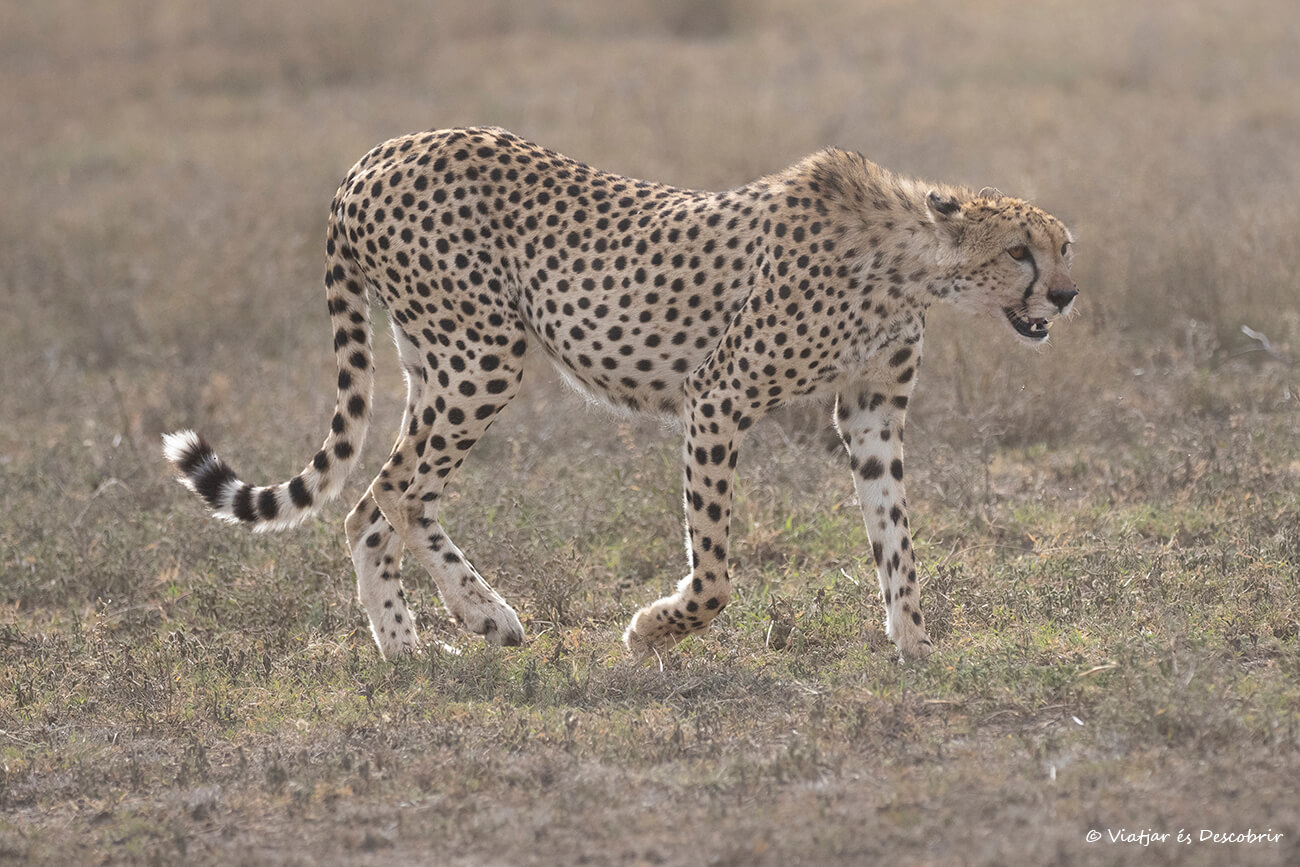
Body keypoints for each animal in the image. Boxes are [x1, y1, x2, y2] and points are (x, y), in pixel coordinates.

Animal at [164, 126, 1076, 662]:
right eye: (1021, 251)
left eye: (1063, 246)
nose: (1067, 296)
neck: (911, 261)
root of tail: (378, 152)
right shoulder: (717, 397)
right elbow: (715, 572)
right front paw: (651, 628)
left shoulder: (871, 411)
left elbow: (896, 538)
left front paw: (915, 647)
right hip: (484, 354)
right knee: (399, 493)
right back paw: (485, 615)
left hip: (434, 363)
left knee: (366, 504)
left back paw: (409, 644)